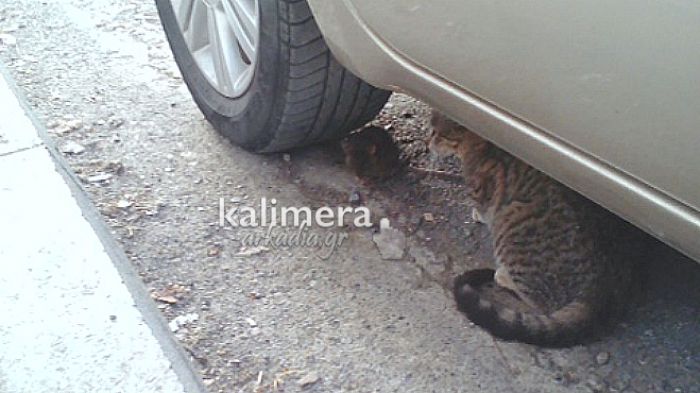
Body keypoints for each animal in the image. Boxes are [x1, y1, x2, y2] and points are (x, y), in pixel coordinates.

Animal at [426, 108, 640, 344]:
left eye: (437, 133)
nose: (428, 143)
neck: (481, 145)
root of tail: (598, 285)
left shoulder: (482, 193)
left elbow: (481, 208)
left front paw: (478, 215)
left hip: (510, 221)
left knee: (538, 300)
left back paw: (503, 276)